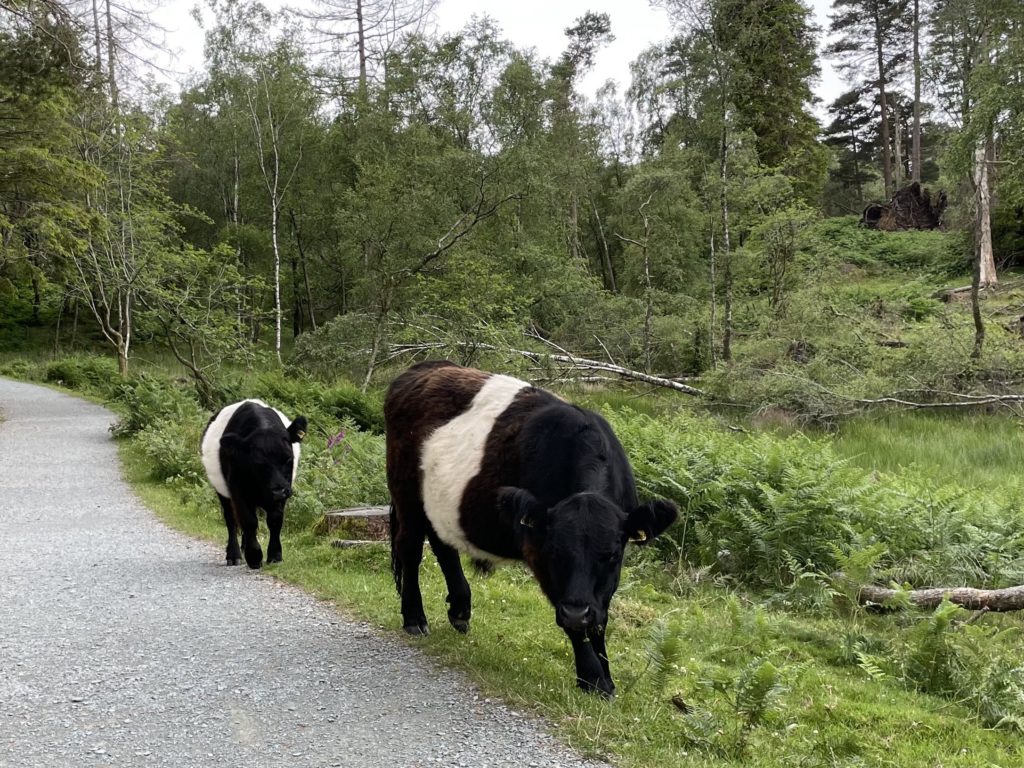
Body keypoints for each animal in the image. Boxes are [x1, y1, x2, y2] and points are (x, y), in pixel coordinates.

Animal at [200, 399, 307, 569]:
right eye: (258, 463)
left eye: (289, 458)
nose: (279, 491)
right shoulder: (237, 490)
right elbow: (249, 521)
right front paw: (254, 557)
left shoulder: (282, 492)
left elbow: (275, 521)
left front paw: (275, 556)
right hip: (223, 492)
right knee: (231, 520)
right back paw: (234, 555)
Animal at [385, 360, 679, 696]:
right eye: (556, 553)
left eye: (612, 555)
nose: (577, 612)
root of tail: (424, 367)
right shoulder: (538, 549)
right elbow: (570, 618)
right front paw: (592, 677)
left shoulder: (607, 576)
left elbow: (599, 618)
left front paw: (605, 675)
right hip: (405, 491)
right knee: (409, 548)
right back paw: (414, 618)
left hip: (438, 500)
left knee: (442, 543)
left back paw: (460, 609)